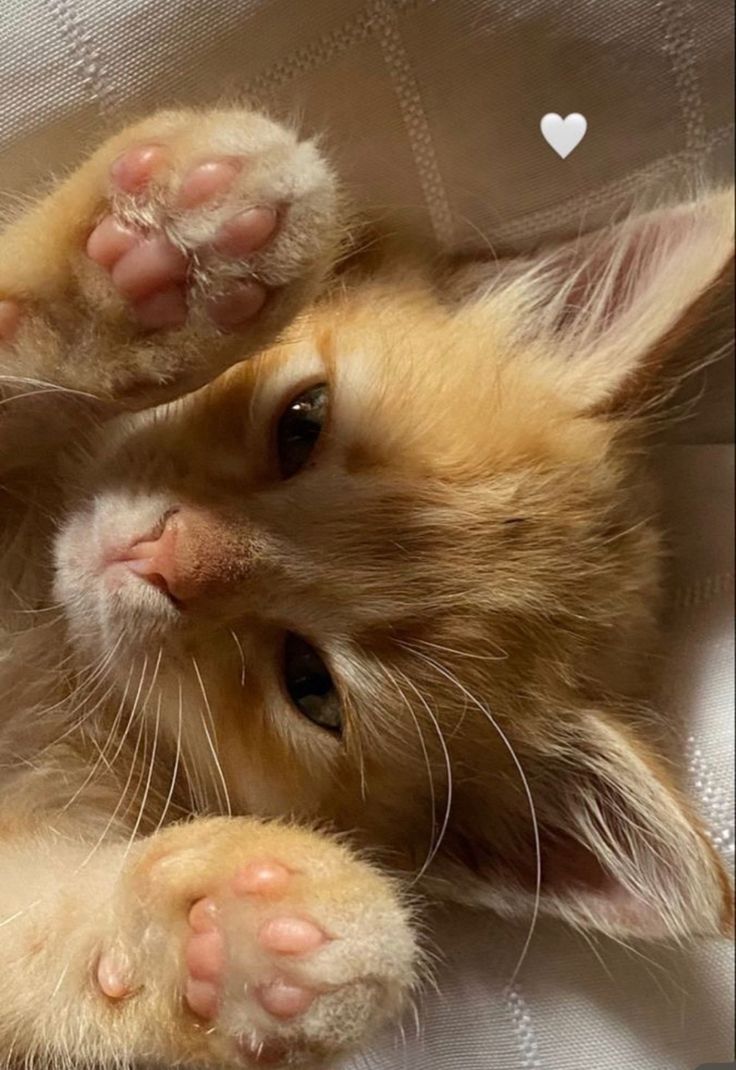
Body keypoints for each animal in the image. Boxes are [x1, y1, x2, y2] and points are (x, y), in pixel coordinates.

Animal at [0, 108, 731, 1070]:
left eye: (310, 686)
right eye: (301, 422)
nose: (156, 557)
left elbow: (38, 944)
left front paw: (220, 934)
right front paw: (154, 262)